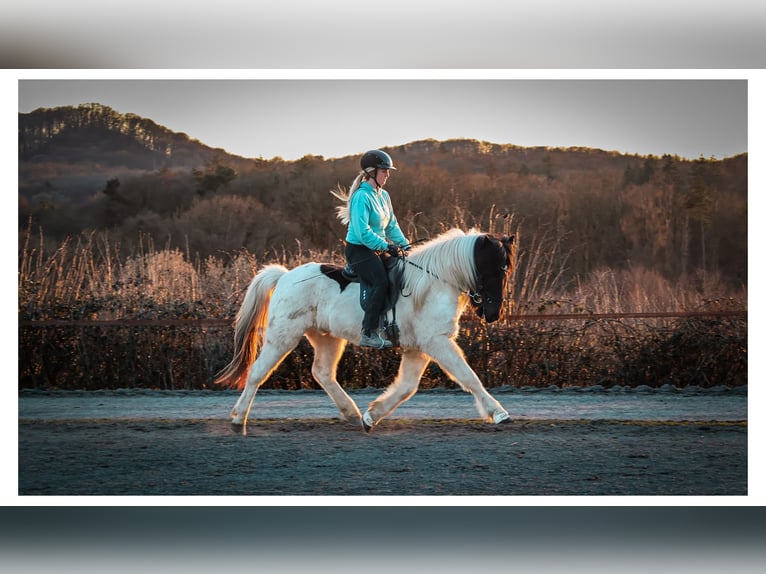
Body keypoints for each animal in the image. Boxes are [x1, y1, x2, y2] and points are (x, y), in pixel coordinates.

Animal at [214, 228, 515, 433]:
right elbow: (469, 378)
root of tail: (285, 276)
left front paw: (372, 416)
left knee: (322, 372)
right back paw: (238, 419)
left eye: (506, 270)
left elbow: (407, 387)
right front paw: (499, 413)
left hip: (327, 337)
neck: (435, 283)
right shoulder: (437, 342)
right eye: (494, 269)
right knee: (257, 372)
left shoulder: (418, 347)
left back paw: (350, 412)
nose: (494, 314)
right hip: (282, 336)